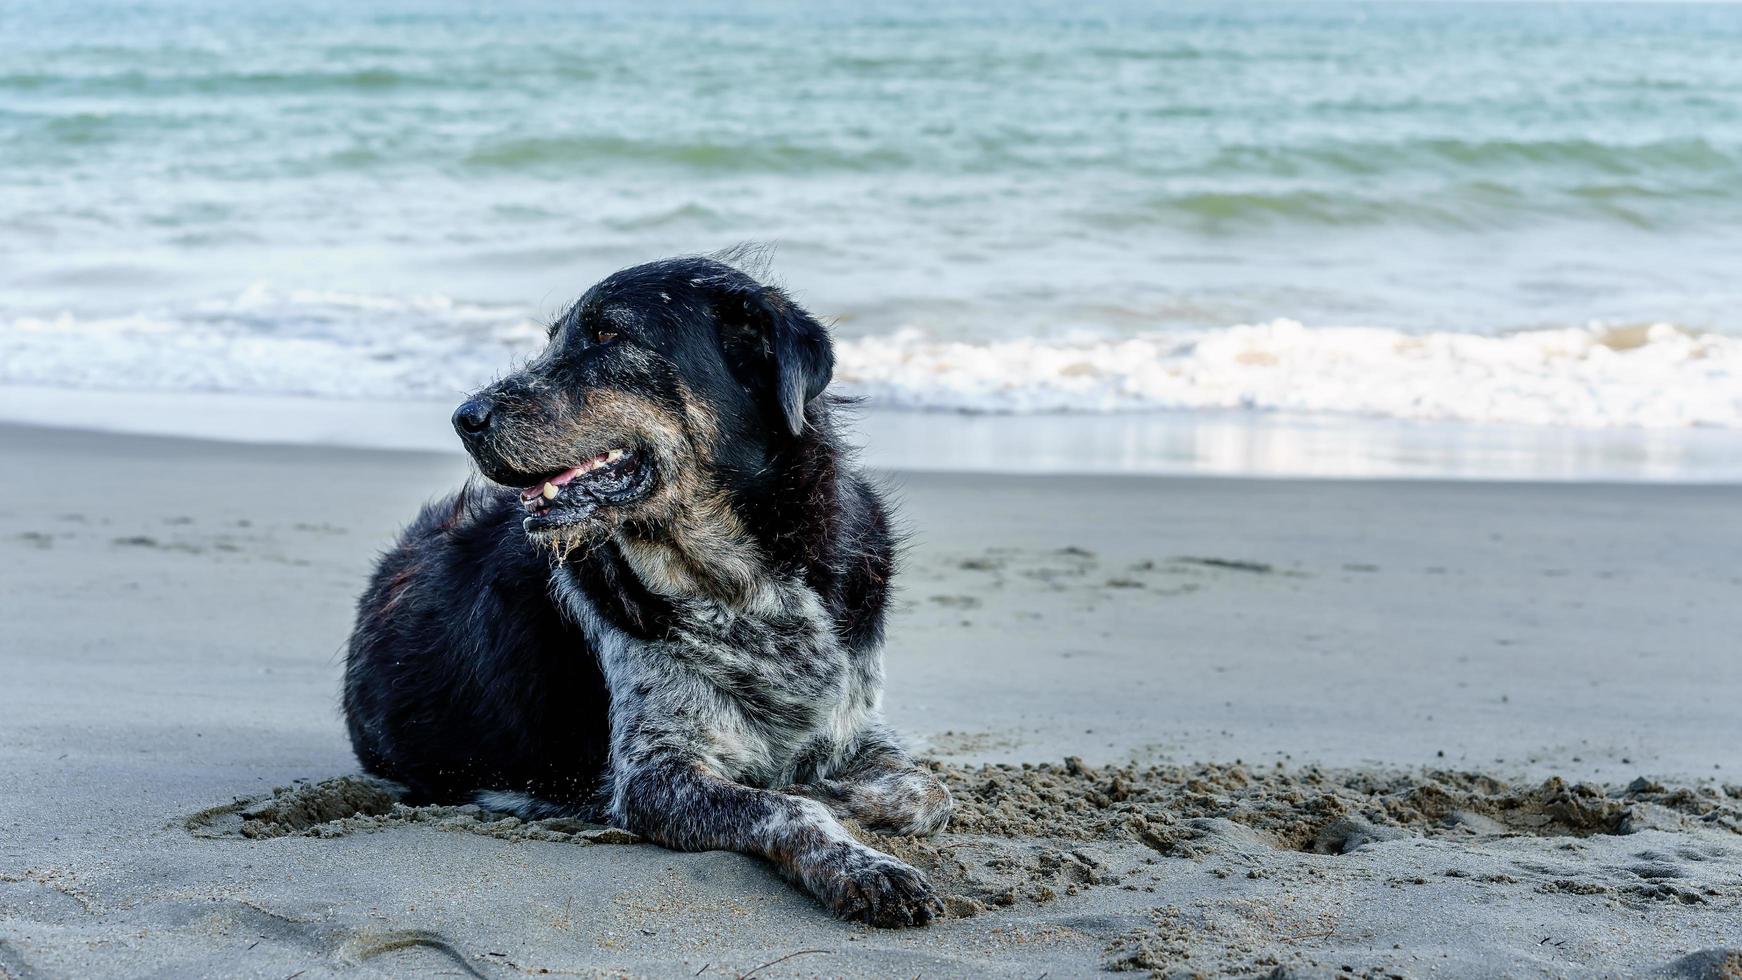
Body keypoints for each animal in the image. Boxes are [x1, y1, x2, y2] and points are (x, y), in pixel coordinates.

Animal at [339, 252, 954, 926]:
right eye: (554, 339)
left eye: (610, 334)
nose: (463, 418)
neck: (742, 584)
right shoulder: (655, 773)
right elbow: (787, 806)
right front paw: (861, 863)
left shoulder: (853, 723)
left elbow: (926, 788)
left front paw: (832, 791)